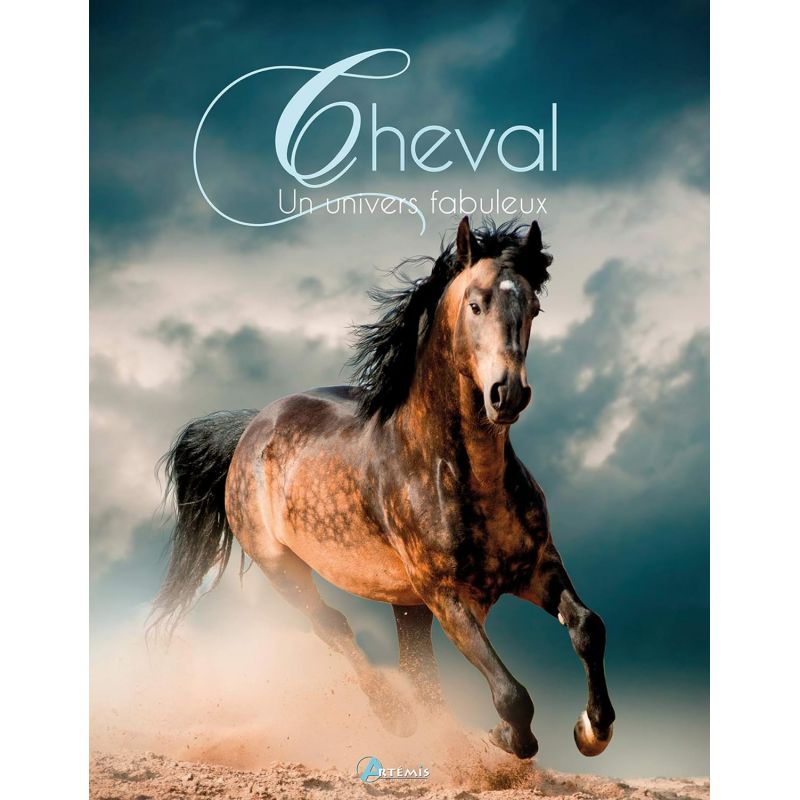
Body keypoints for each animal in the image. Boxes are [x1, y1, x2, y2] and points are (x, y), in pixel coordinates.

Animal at [151, 216, 615, 760]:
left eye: (534, 308)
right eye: (476, 304)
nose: (508, 394)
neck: (460, 475)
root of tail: (250, 428)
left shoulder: (538, 567)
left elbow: (587, 627)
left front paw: (593, 729)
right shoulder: (446, 595)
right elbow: (511, 694)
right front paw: (506, 737)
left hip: (405, 603)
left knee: (418, 669)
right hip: (283, 569)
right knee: (334, 627)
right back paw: (397, 719)